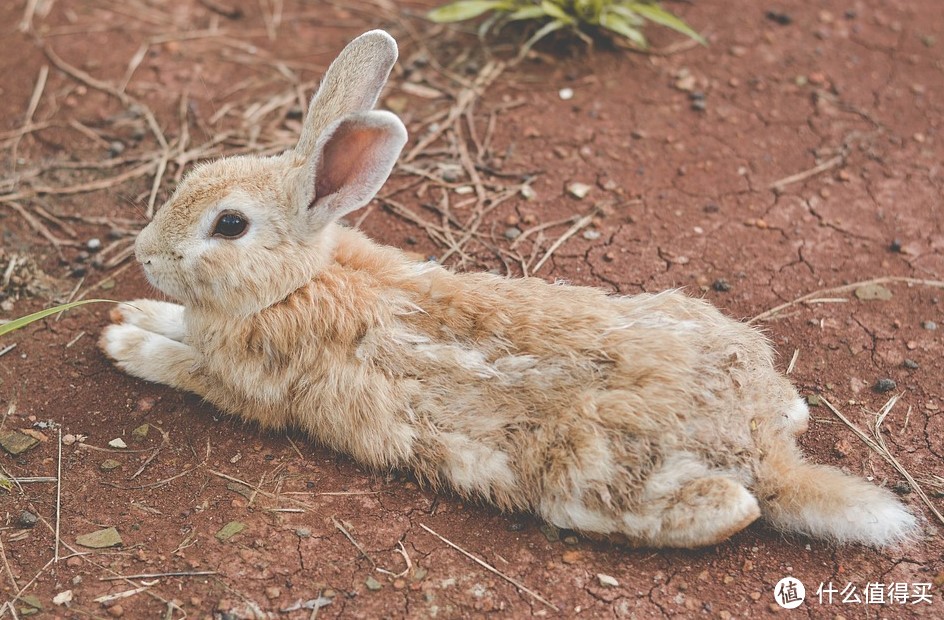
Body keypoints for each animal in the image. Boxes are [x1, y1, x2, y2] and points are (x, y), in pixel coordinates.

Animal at [101, 31, 916, 548]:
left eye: (229, 224)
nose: (145, 254)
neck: (295, 281)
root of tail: (761, 450)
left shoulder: (244, 385)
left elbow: (179, 364)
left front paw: (122, 339)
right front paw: (134, 310)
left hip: (595, 482)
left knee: (730, 511)